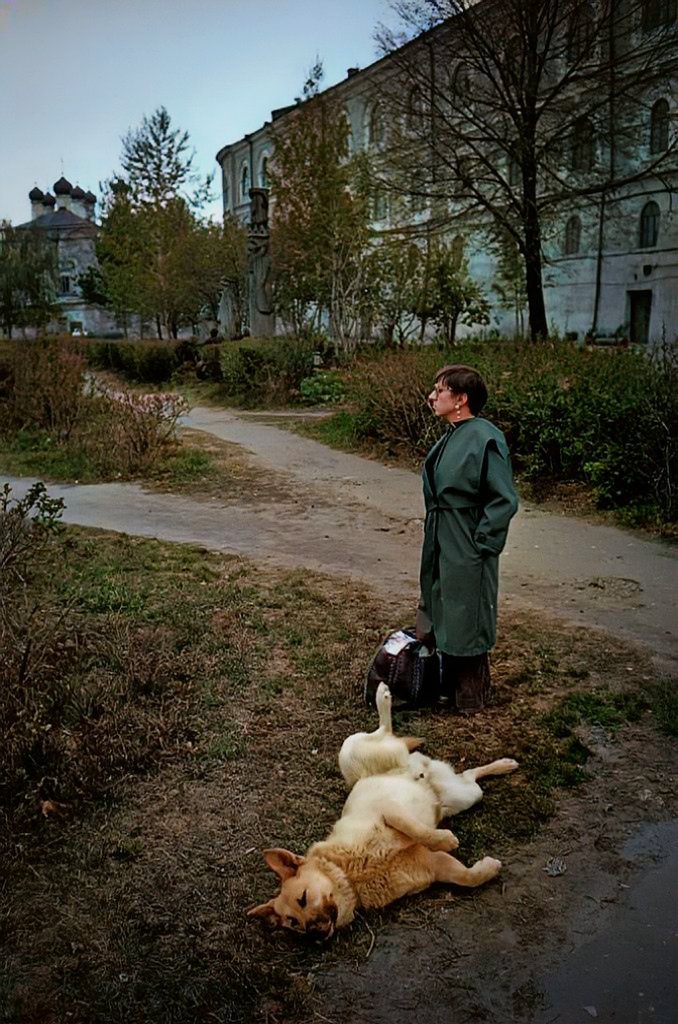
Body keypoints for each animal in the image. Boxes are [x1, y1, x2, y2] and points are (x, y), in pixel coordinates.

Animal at [249, 684, 520, 937]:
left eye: (303, 899)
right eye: (294, 924)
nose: (314, 933)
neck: (351, 874)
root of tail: (417, 764)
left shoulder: (388, 810)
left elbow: (420, 831)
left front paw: (445, 839)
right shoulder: (434, 864)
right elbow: (466, 878)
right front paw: (487, 868)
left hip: (353, 751)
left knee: (385, 730)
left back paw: (383, 696)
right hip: (464, 795)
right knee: (470, 775)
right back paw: (503, 765)